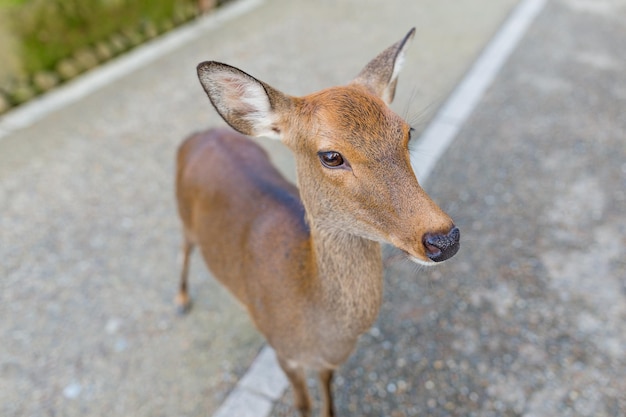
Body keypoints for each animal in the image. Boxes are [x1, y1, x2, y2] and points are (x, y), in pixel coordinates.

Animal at [176, 28, 458, 416]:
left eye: (407, 131)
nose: (444, 239)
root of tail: (198, 136)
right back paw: (181, 299)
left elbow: (326, 390)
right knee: (185, 248)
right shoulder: (282, 351)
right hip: (182, 214)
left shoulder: (327, 362)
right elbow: (303, 404)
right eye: (331, 156)